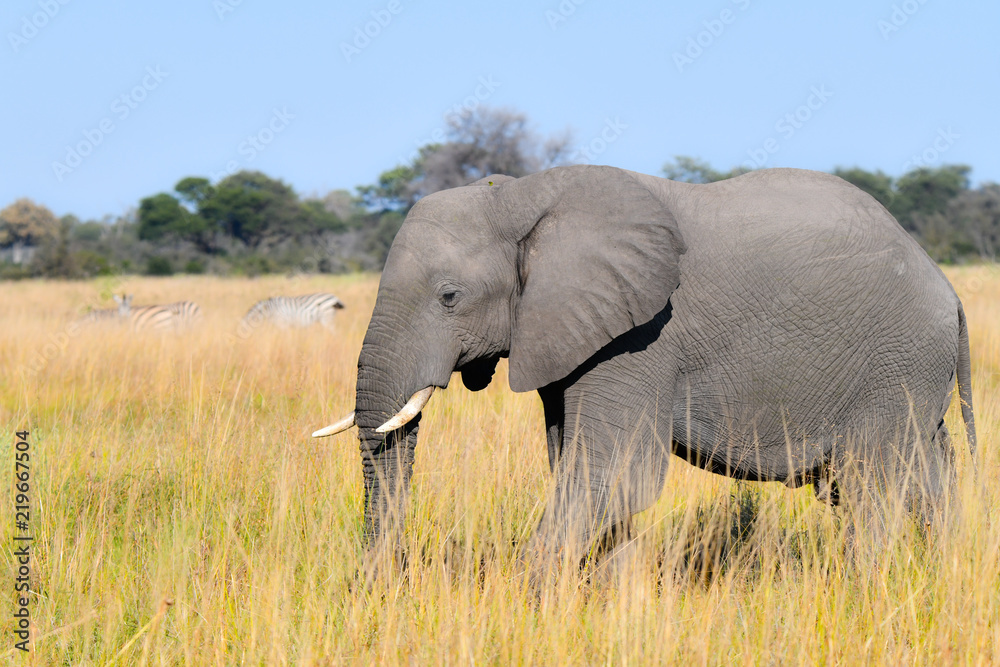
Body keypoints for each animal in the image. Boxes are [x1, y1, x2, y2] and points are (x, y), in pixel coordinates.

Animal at [313, 165, 976, 572]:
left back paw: (864, 588)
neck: (524, 195)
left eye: (449, 296)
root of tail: (948, 289)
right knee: (930, 476)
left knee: (872, 486)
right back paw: (942, 579)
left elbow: (611, 476)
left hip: (896, 363)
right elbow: (587, 474)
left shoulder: (640, 338)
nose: (377, 585)